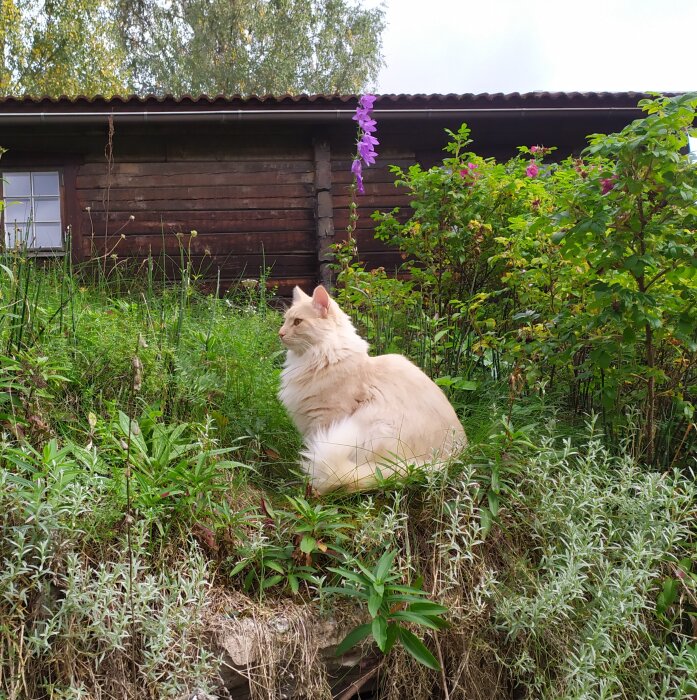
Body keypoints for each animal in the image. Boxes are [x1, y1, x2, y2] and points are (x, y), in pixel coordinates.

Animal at [278, 284, 468, 492]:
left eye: (297, 322)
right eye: (285, 320)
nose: (280, 333)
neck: (322, 357)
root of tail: (453, 457)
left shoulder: (325, 417)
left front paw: (309, 488)